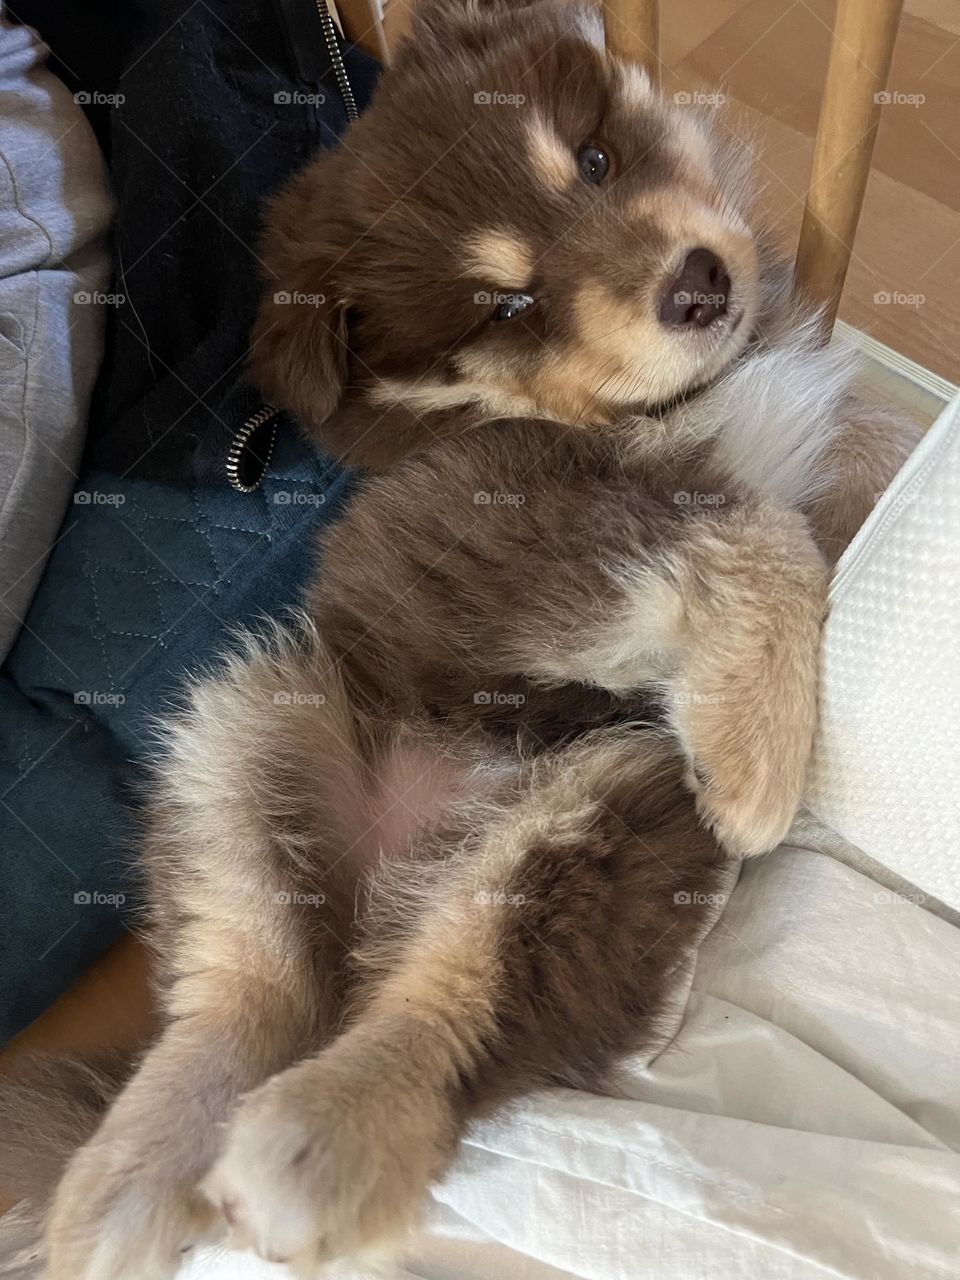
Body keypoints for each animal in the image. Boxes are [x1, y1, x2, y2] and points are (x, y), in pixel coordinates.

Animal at [7, 2, 926, 1280]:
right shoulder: (498, 541)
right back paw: (203, 1166)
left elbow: (847, 474)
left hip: (597, 800)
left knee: (411, 983)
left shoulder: (811, 447)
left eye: (596, 159)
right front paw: (757, 753)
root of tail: (392, 869)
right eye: (509, 307)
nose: (699, 287)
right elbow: (741, 521)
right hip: (248, 722)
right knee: (263, 998)